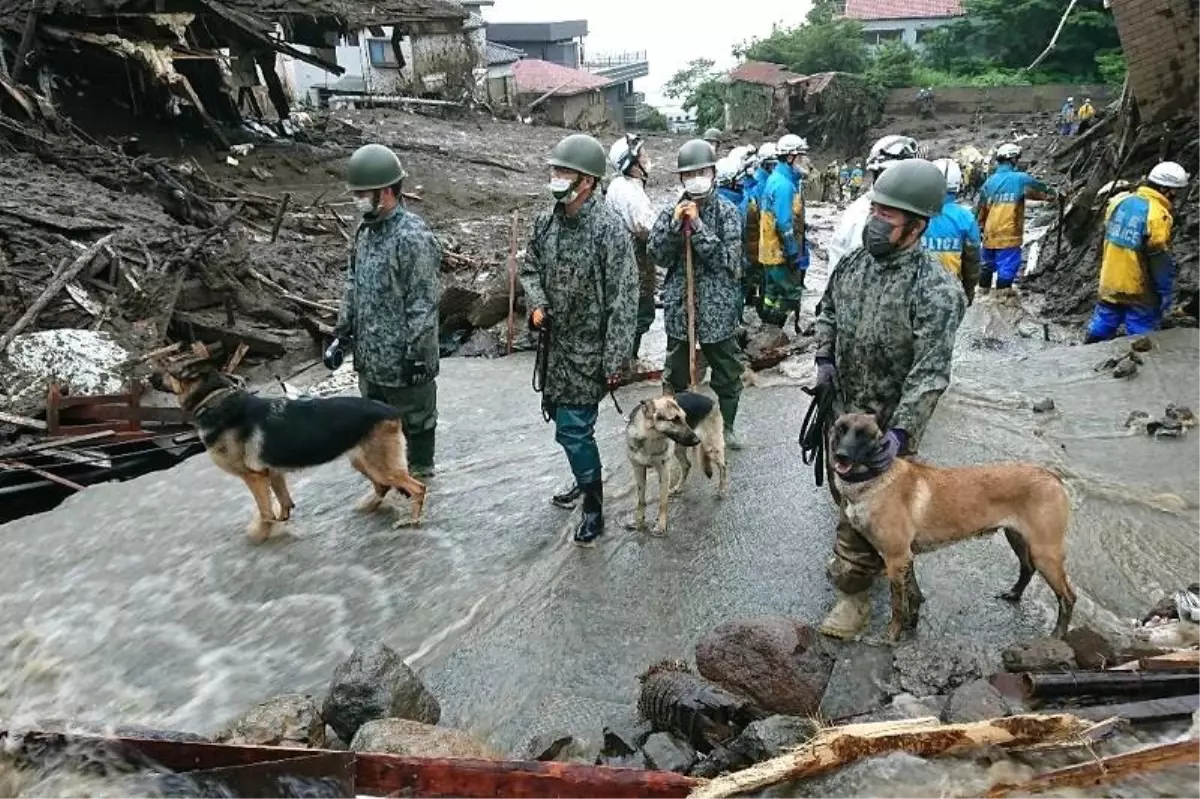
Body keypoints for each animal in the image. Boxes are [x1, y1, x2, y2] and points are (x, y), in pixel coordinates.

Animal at [152, 357, 427, 537]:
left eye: (169, 370)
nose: (146, 375)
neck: (213, 399)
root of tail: (392, 410)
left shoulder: (254, 477)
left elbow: (264, 510)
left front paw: (262, 531)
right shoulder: (274, 473)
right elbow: (283, 502)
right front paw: (282, 521)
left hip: (380, 465)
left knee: (417, 488)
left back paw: (411, 521)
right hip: (361, 460)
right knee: (384, 486)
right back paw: (370, 505)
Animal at [628, 388, 729, 532]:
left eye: (684, 418)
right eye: (674, 420)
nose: (697, 440)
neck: (649, 438)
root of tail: (709, 400)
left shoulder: (664, 471)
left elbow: (663, 500)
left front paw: (661, 525)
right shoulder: (638, 470)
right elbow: (640, 500)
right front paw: (639, 522)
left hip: (711, 447)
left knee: (723, 465)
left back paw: (721, 489)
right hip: (679, 448)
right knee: (687, 465)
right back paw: (678, 487)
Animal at [830, 412, 1075, 638]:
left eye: (864, 434)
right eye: (840, 430)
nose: (840, 455)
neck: (873, 479)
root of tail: (1051, 475)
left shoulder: (896, 558)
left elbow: (898, 603)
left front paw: (893, 634)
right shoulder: (906, 558)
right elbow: (913, 594)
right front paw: (912, 621)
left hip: (1045, 552)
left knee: (1068, 597)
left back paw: (1058, 635)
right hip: (1017, 538)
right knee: (1027, 568)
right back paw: (1014, 594)